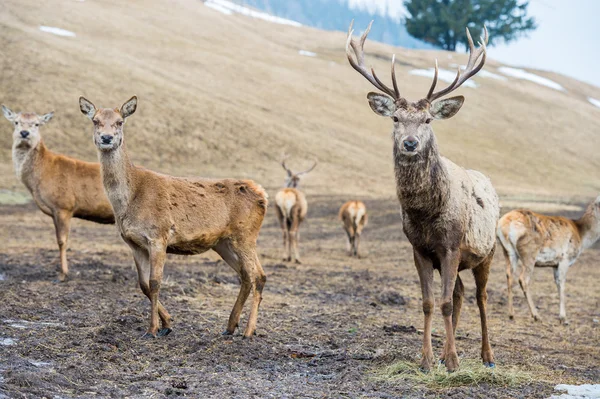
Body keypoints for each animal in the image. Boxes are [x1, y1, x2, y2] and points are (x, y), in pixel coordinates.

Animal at [1, 104, 114, 282]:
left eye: (36, 124)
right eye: (16, 122)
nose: (24, 133)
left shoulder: (64, 206)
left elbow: (62, 241)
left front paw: (63, 274)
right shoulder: (54, 211)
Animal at [78, 96, 268, 338]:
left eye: (120, 121)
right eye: (95, 120)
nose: (106, 137)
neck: (129, 201)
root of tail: (263, 195)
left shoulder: (158, 235)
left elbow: (155, 282)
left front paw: (152, 329)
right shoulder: (132, 242)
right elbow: (142, 284)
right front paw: (167, 323)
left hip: (246, 235)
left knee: (259, 275)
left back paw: (248, 330)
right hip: (223, 243)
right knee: (245, 275)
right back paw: (229, 327)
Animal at [344, 21, 500, 372]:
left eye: (428, 119)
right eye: (395, 118)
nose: (411, 142)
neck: (426, 214)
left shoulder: (452, 245)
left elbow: (444, 303)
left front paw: (454, 361)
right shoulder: (420, 249)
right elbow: (430, 303)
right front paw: (428, 359)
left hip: (487, 251)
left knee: (481, 297)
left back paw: (486, 356)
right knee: (458, 293)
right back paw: (445, 352)